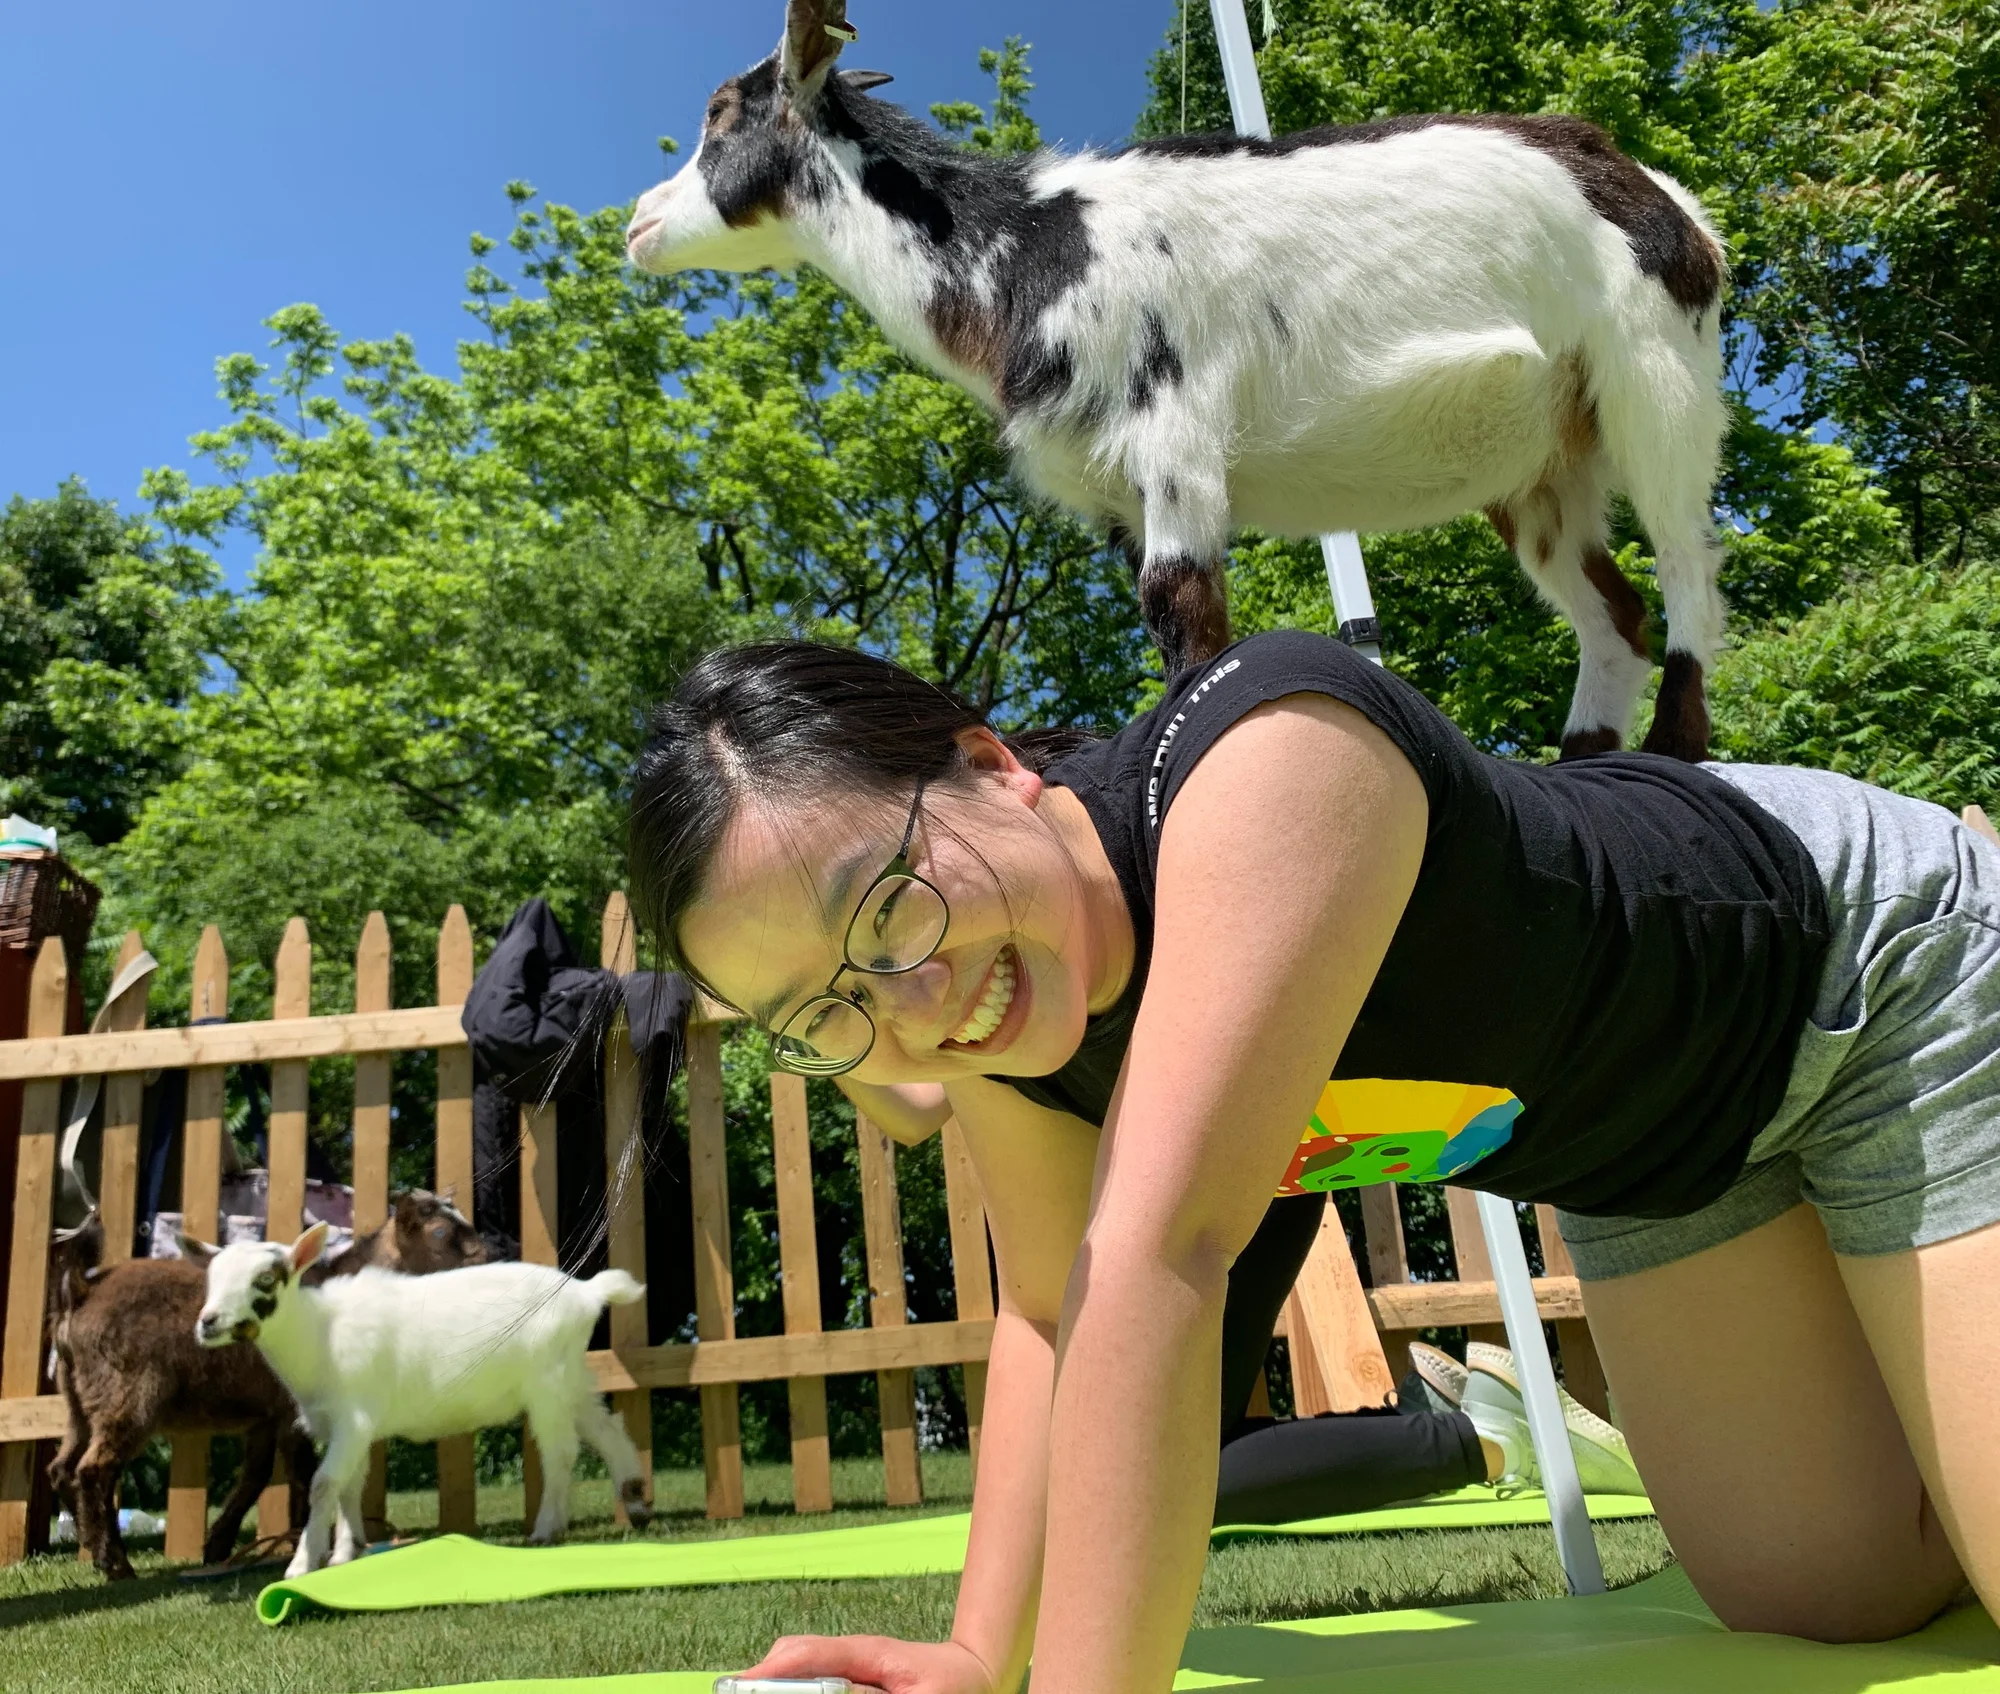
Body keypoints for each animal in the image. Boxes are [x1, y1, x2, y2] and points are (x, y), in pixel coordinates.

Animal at [47, 1192, 488, 1576]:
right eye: (440, 1233)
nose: (489, 1254)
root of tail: (81, 1291)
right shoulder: (292, 1412)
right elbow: (303, 1474)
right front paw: (303, 1541)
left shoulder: (266, 1418)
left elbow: (255, 1476)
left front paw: (220, 1546)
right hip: (127, 1395)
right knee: (94, 1470)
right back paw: (115, 1563)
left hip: (79, 1400)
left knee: (62, 1467)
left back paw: (89, 1541)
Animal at [193, 1216, 648, 1576]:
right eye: (211, 1280)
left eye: (265, 1280)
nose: (208, 1322)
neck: (320, 1333)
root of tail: (586, 1293)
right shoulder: (353, 1426)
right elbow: (350, 1486)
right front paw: (345, 1554)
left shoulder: (353, 1418)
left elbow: (325, 1484)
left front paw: (302, 1564)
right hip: (571, 1377)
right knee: (608, 1429)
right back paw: (636, 1500)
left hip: (547, 1382)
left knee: (561, 1452)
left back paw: (546, 1529)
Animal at [628, 0, 1736, 760]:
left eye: (722, 115)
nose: (637, 221)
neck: (1033, 248)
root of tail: (1663, 195)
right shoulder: (1113, 488)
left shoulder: (1175, 441)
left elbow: (1185, 616)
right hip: (1545, 463)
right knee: (1612, 616)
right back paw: (1582, 760)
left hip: (1654, 374)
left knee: (1687, 564)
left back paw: (1673, 750)